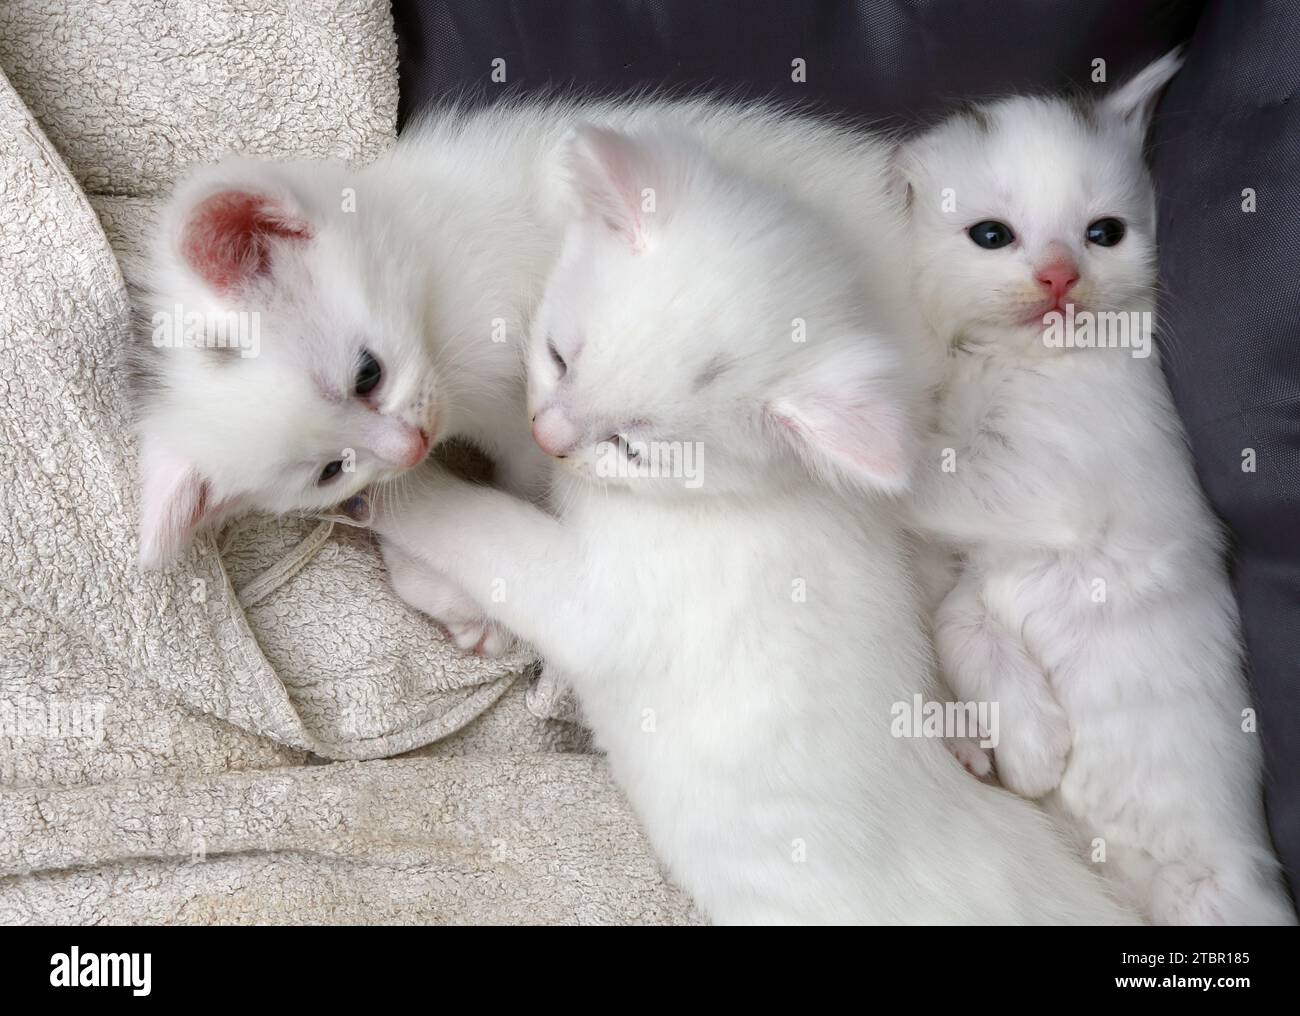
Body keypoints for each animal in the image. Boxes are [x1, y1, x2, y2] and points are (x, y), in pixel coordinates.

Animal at [358, 123, 1138, 925]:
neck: (743, 495)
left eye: (634, 448)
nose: (550, 435)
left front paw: (402, 491)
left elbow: (488, 536)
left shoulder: (610, 598)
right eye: (558, 358)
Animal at [899, 55, 1294, 930]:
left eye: (1103, 233)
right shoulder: (984, 560)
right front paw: (1027, 745)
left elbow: (925, 479)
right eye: (991, 235)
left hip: (1220, 899)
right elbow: (957, 616)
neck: (1023, 361)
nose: (1060, 276)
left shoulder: (1041, 486)